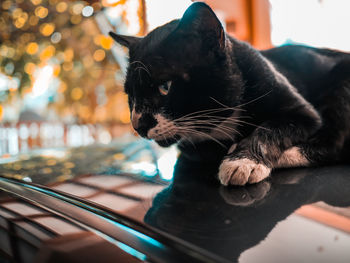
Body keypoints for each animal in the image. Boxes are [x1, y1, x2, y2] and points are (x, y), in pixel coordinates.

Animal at [109, 3, 350, 187]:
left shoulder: (303, 112)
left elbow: (270, 128)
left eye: (165, 86)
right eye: (130, 95)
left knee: (334, 145)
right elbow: (195, 149)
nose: (138, 125)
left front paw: (243, 161)